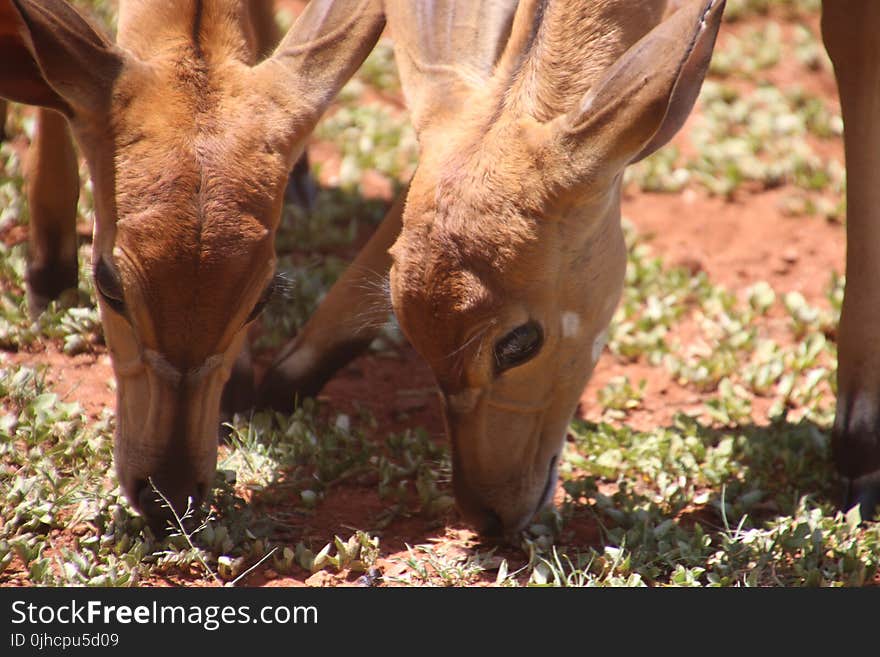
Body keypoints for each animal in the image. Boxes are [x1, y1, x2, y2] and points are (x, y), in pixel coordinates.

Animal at [262, 0, 880, 532]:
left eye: (518, 343)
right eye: (411, 333)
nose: (486, 514)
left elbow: (852, 44)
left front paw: (860, 451)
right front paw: (284, 373)